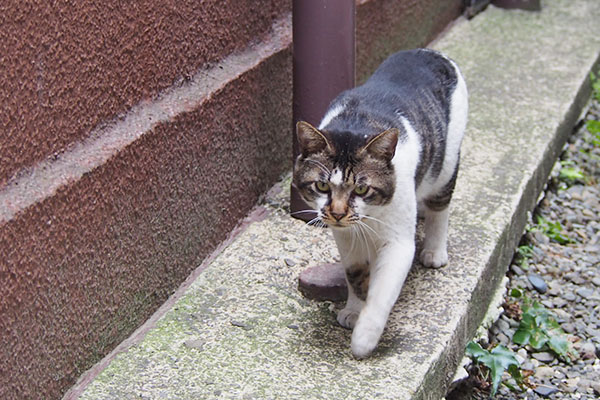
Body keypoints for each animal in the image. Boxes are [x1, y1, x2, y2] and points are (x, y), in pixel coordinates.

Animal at [292, 48, 466, 358]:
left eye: (362, 188)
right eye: (322, 186)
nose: (337, 213)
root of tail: (432, 53)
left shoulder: (398, 243)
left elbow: (382, 292)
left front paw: (364, 339)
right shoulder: (347, 239)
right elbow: (355, 274)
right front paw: (353, 309)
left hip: (446, 164)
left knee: (440, 206)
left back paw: (434, 250)